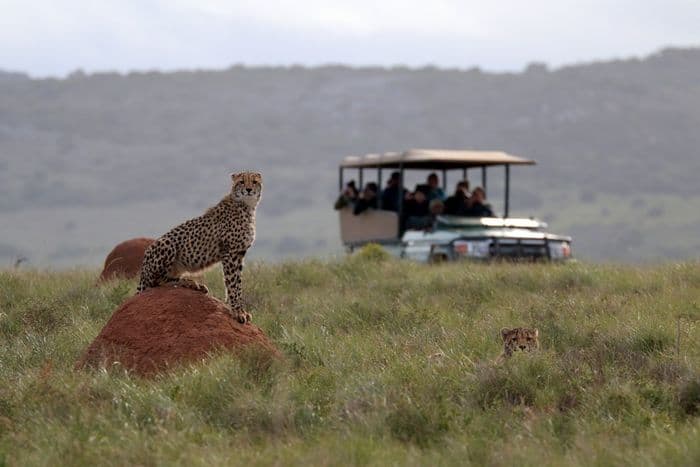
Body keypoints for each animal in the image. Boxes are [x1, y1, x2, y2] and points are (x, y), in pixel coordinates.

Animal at [137, 172, 262, 326]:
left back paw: (195, 284)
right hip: (167, 243)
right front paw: (237, 312)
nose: (249, 190)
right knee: (158, 282)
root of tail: (142, 271)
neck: (246, 206)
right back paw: (188, 282)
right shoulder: (230, 253)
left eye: (254, 182)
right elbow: (233, 284)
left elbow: (237, 283)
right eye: (242, 182)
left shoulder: (239, 253)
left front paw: (239, 309)